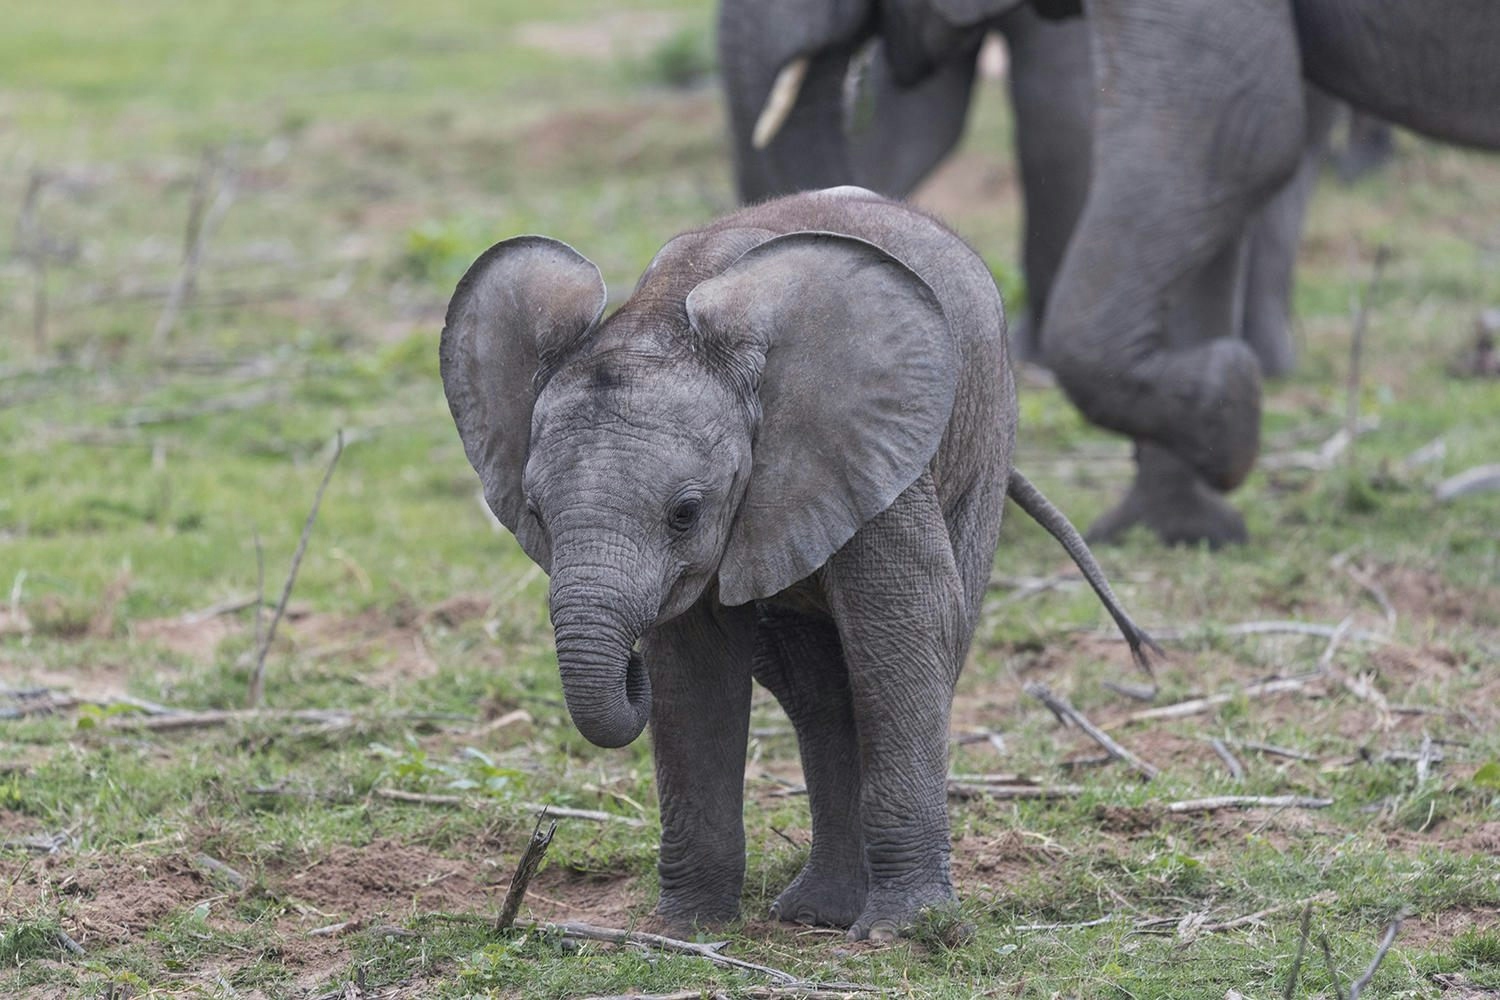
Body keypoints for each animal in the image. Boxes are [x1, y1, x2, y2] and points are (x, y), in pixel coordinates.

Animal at [438, 189, 1152, 947]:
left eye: (685, 513)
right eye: (536, 512)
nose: (629, 669)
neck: (663, 312)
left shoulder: (872, 449)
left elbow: (909, 629)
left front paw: (903, 933)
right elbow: (694, 671)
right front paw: (685, 927)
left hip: (985, 434)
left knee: (915, 653)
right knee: (818, 690)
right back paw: (820, 911)